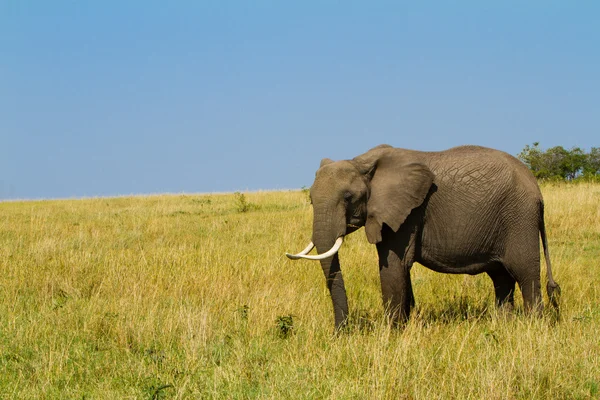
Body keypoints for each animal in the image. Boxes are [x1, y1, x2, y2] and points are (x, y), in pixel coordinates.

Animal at [288, 145, 560, 330]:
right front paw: (406, 325)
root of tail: (537, 189)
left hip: (519, 218)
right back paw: (503, 324)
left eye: (348, 198)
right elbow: (401, 269)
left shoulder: (409, 214)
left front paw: (391, 333)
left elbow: (393, 266)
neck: (362, 161)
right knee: (501, 278)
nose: (339, 332)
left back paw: (533, 326)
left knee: (525, 274)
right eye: (310, 200)